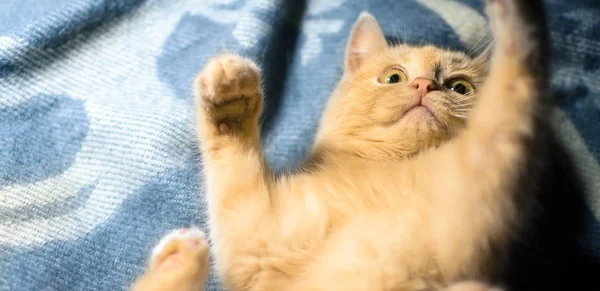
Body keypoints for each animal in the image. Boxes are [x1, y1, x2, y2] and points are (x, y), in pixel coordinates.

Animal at [131, 1, 548, 290]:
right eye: (393, 77)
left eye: (460, 87)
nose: (424, 85)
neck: (383, 172)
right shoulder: (254, 237)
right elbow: (232, 159)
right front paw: (231, 100)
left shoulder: (475, 189)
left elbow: (508, 97)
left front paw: (520, 21)